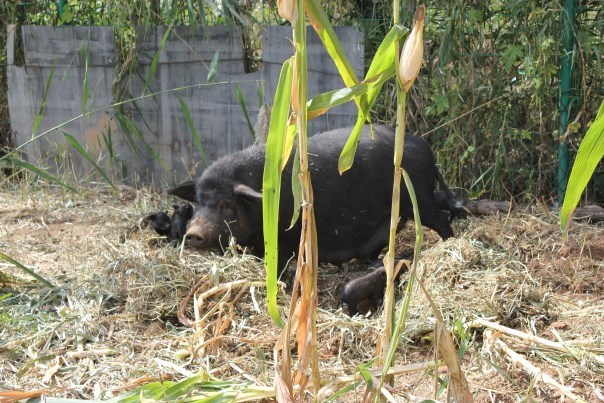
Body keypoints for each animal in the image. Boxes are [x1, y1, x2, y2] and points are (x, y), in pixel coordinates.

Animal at [170, 126, 462, 272]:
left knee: (441, 219)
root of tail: (424, 147)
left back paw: (449, 245)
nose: (193, 233)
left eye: (227, 204)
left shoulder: (284, 239)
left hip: (419, 197)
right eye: (198, 203)